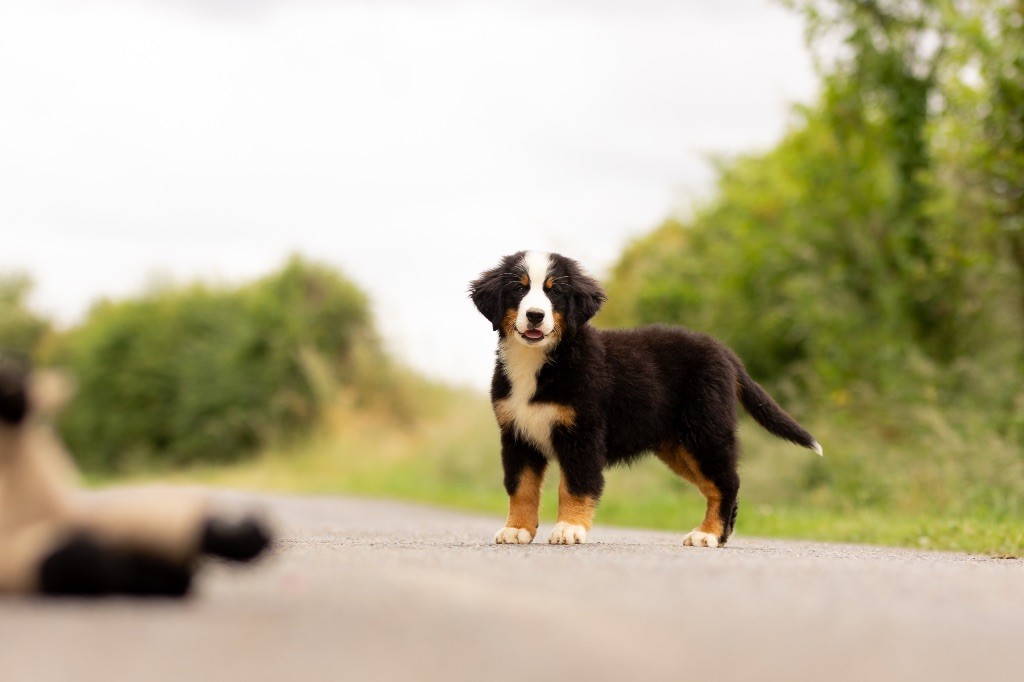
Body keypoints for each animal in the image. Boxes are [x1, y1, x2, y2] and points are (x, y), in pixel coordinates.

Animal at [468, 249, 819, 548]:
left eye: (555, 292)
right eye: (519, 289)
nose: (535, 316)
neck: (537, 362)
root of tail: (725, 352)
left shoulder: (583, 433)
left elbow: (575, 485)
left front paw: (569, 528)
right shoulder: (516, 434)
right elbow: (521, 487)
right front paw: (517, 529)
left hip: (704, 432)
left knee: (726, 482)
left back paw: (707, 534)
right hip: (678, 447)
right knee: (715, 485)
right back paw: (716, 535)